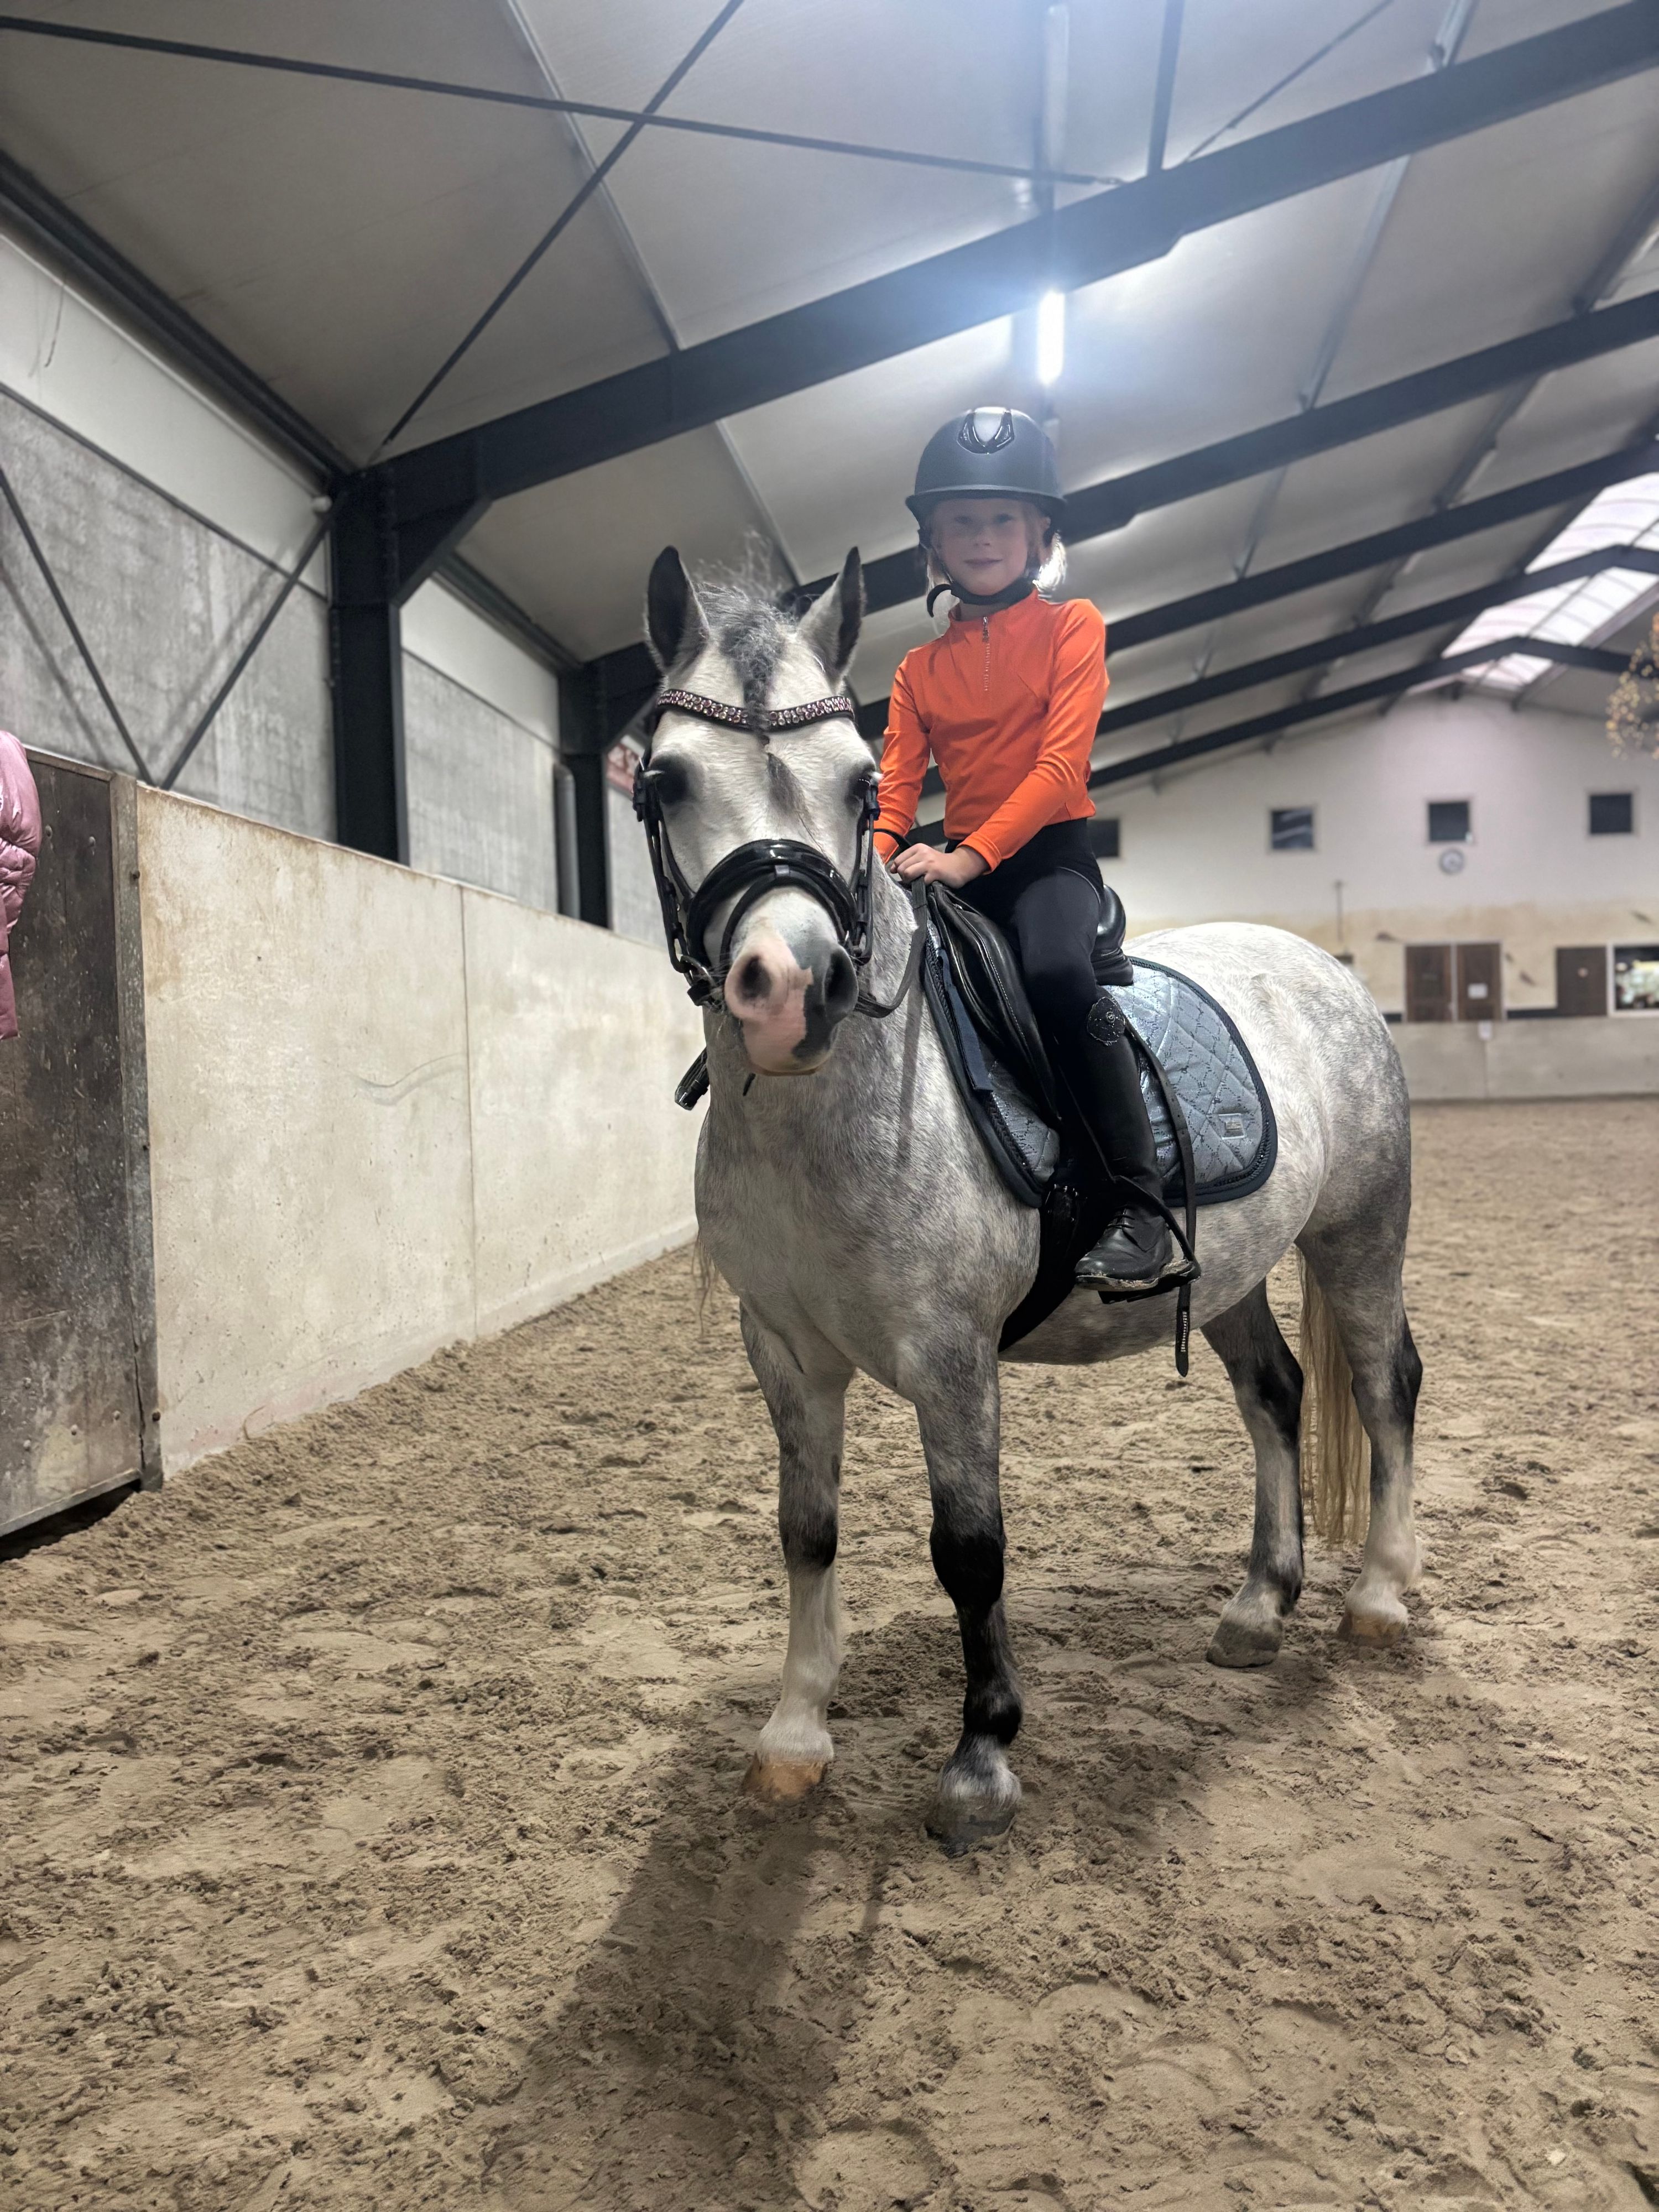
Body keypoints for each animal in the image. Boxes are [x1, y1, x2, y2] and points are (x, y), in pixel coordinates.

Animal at [634, 546, 1423, 1856]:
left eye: (862, 782)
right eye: (667, 779)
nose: (794, 989)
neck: (829, 1110)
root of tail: (1322, 965)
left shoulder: (952, 1356)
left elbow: (970, 1547)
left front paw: (982, 1756)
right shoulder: (783, 1350)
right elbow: (807, 1528)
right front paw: (794, 1737)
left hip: (1360, 1235)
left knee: (1383, 1382)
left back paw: (1379, 1597)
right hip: (1237, 1267)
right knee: (1276, 1394)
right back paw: (1259, 1606)